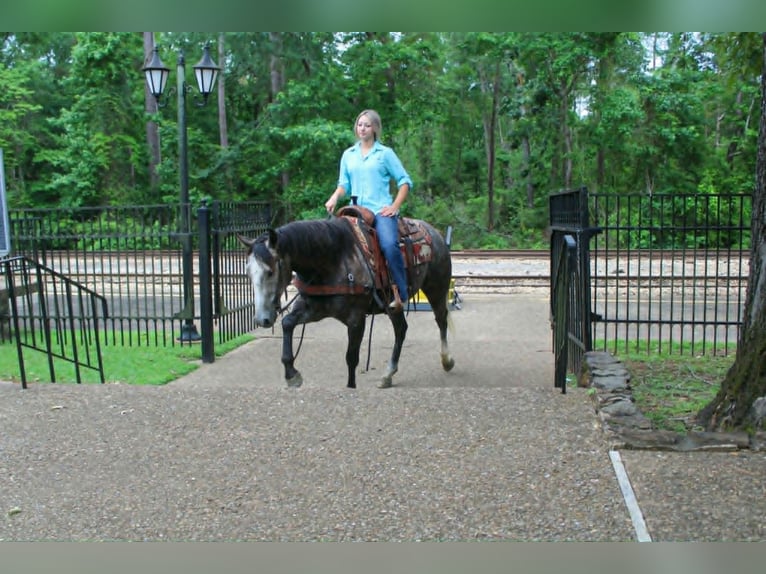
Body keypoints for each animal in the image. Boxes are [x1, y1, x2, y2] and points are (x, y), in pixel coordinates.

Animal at [237, 209, 455, 389]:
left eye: (270, 271)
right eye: (247, 273)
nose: (262, 319)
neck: (333, 260)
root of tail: (435, 233)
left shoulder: (356, 319)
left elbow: (351, 358)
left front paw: (351, 387)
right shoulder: (314, 308)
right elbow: (287, 323)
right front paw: (292, 374)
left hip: (436, 288)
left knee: (441, 320)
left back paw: (447, 360)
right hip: (392, 304)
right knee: (401, 329)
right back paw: (388, 375)